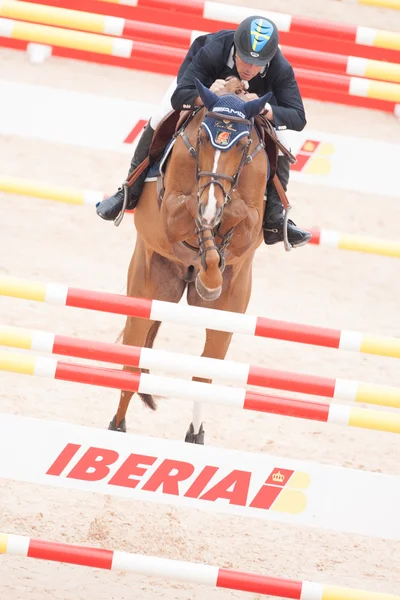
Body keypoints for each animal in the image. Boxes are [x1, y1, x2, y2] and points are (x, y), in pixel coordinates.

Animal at [108, 77, 274, 442]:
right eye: (200, 139)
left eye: (244, 145)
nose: (211, 204)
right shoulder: (171, 209)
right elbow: (190, 211)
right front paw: (207, 236)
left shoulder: (251, 221)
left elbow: (239, 214)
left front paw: (212, 263)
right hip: (147, 290)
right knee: (131, 362)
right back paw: (116, 426)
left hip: (227, 312)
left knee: (204, 374)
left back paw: (195, 436)